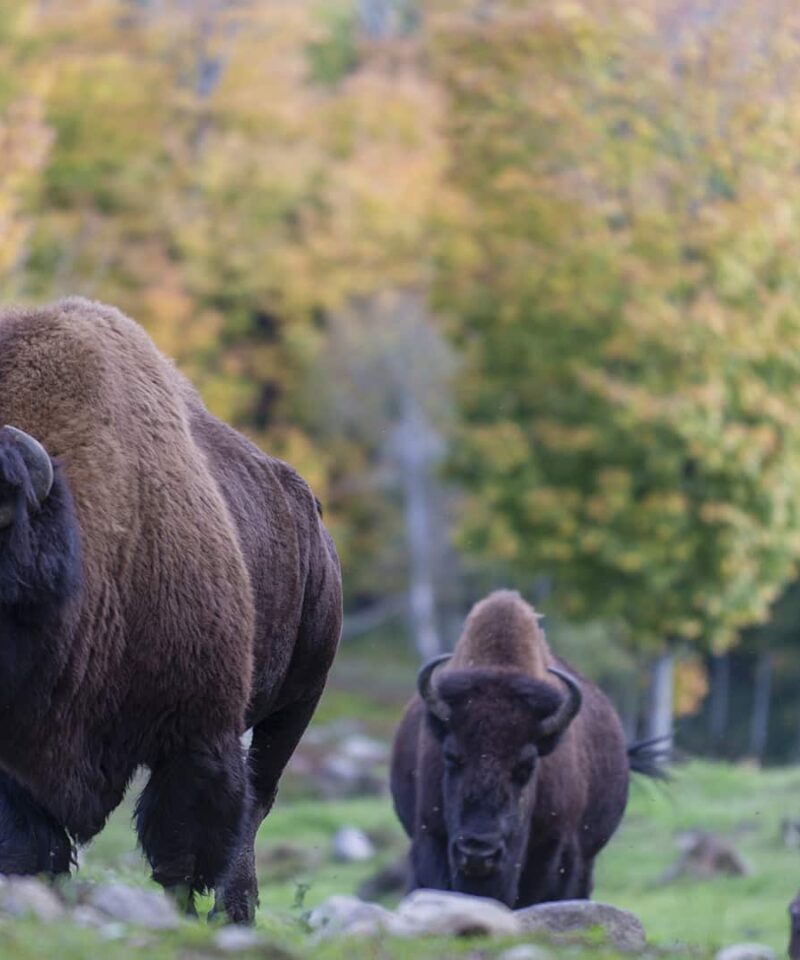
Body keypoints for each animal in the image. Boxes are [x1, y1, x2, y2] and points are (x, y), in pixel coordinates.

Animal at [0, 297, 342, 922]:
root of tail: (311, 514)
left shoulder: (196, 736)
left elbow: (180, 855)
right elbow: (31, 846)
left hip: (298, 702)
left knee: (257, 802)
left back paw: (236, 912)